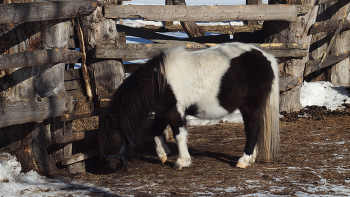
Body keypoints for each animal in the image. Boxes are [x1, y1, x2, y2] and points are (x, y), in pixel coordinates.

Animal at [98, 42, 278, 171]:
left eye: (111, 137)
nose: (110, 166)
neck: (159, 82)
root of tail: (266, 57)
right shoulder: (162, 111)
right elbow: (155, 130)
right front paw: (163, 154)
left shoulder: (175, 111)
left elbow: (179, 135)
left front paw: (182, 162)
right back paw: (251, 158)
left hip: (250, 106)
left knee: (252, 130)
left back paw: (243, 160)